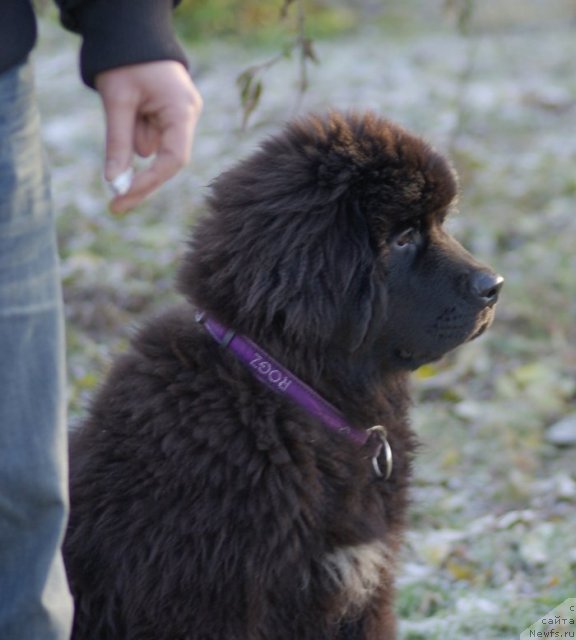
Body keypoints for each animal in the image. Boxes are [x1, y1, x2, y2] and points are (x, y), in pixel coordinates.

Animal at [64, 111, 504, 640]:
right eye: (402, 238)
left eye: (439, 224)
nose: (495, 286)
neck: (291, 393)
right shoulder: (212, 603)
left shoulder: (363, 591)